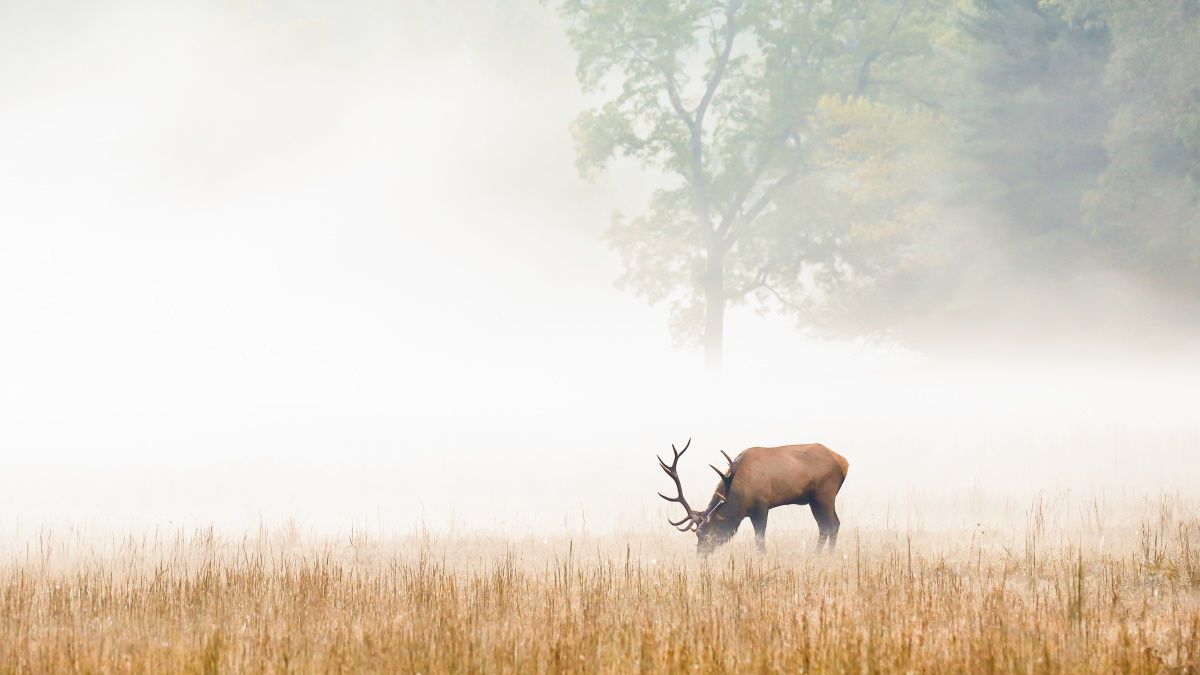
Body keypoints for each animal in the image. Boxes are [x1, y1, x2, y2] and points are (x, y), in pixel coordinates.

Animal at [662, 437, 849, 552]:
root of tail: (844, 462)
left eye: (708, 535)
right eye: (697, 534)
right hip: (814, 499)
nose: (700, 556)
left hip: (825, 494)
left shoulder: (761, 506)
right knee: (829, 525)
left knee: (830, 525)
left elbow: (760, 539)